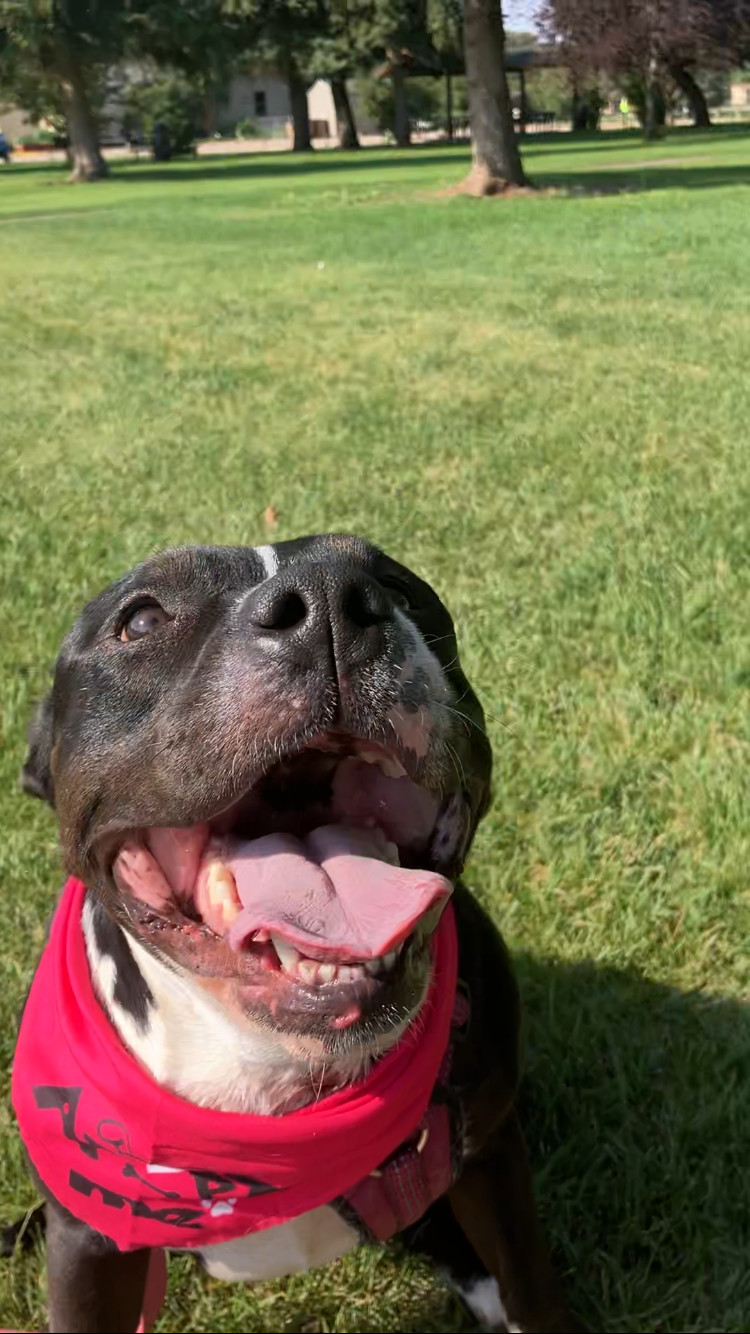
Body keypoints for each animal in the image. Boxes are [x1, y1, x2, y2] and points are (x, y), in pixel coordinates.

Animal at [13, 536, 579, 1328]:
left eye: (398, 585)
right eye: (142, 619)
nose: (329, 603)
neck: (273, 1072)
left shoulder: (493, 1152)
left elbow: (533, 1287)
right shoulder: (88, 1244)